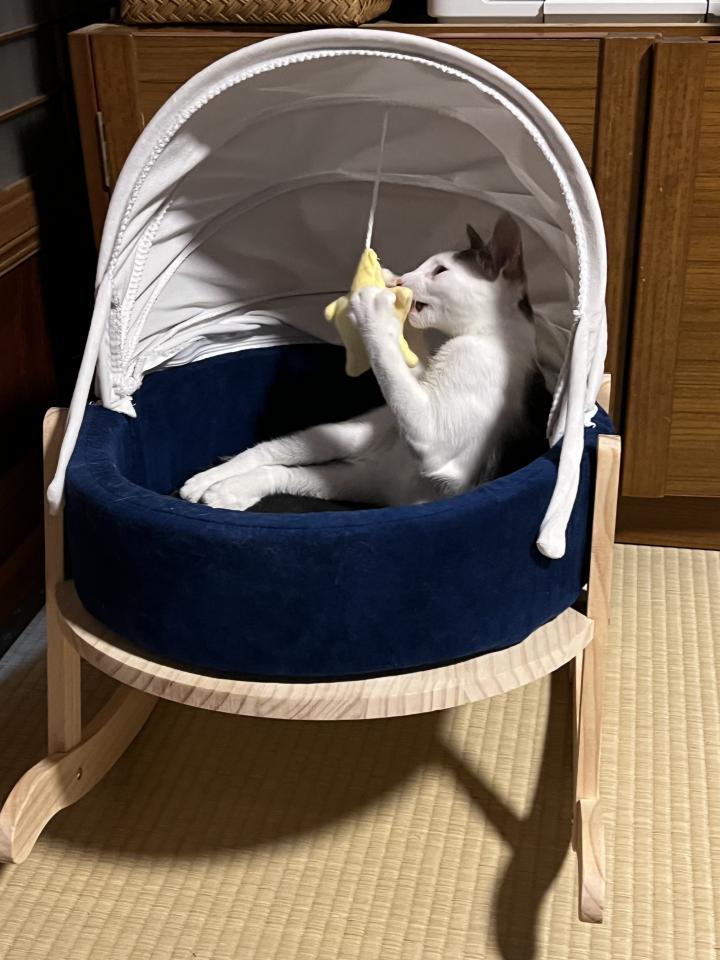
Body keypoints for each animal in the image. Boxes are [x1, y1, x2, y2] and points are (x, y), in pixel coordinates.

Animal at [179, 213, 550, 512]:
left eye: (440, 271)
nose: (401, 280)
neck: (484, 334)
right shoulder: (421, 383)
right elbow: (410, 365)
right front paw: (387, 287)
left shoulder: (435, 441)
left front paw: (376, 310)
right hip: (355, 432)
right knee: (273, 453)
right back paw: (210, 481)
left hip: (368, 463)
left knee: (288, 471)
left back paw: (227, 491)